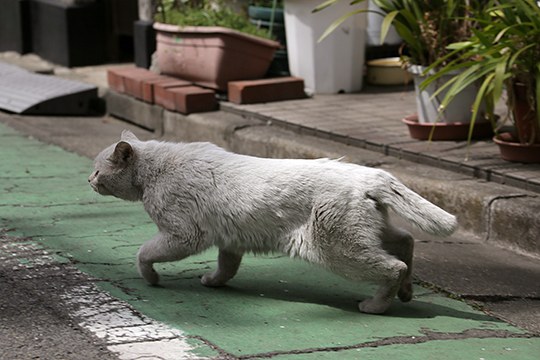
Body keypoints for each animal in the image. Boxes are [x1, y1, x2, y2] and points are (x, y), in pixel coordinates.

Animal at [87, 131, 456, 314]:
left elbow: (144, 253)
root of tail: (371, 174)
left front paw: (150, 278)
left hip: (340, 248)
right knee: (406, 241)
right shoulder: (230, 240)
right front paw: (214, 281)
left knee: (394, 266)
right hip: (367, 234)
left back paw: (376, 305)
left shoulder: (184, 235)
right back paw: (406, 293)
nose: (88, 180)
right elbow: (227, 266)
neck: (154, 171)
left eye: (96, 170)